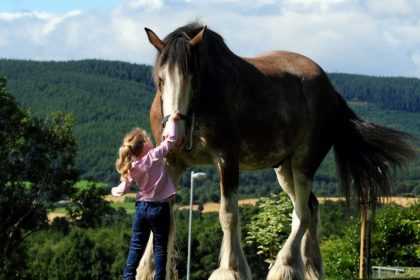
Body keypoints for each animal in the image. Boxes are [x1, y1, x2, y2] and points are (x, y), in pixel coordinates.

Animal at [136, 22, 416, 280]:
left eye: (194, 81)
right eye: (160, 80)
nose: (175, 134)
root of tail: (332, 92)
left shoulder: (227, 160)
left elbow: (229, 214)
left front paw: (231, 269)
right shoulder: (172, 163)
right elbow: (161, 212)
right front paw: (148, 270)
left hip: (303, 164)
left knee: (303, 214)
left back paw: (286, 267)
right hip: (284, 169)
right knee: (311, 208)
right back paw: (310, 269)